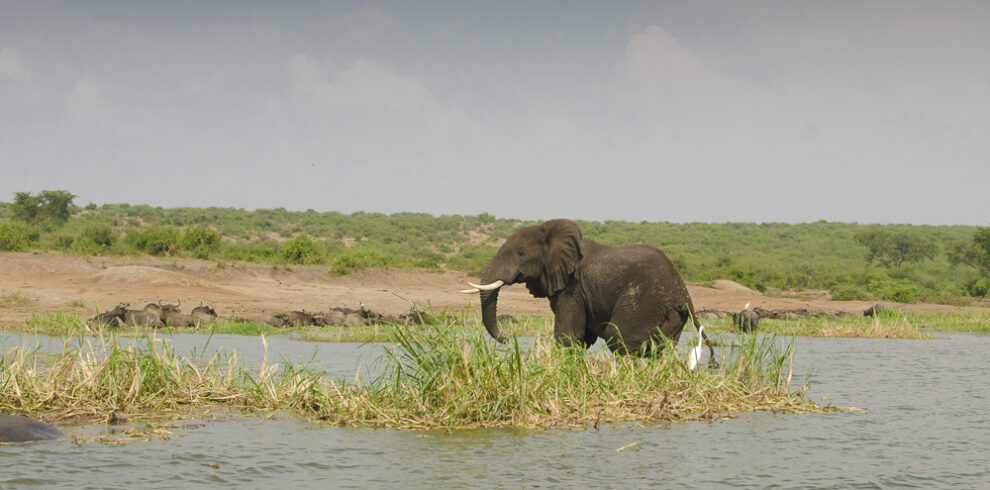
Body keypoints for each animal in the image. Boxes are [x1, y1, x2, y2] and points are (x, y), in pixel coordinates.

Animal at [462, 219, 714, 358]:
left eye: (521, 254)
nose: (508, 338)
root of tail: (684, 295)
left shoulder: (573, 287)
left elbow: (568, 335)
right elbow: (583, 337)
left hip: (645, 302)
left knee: (618, 337)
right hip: (672, 318)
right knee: (659, 349)